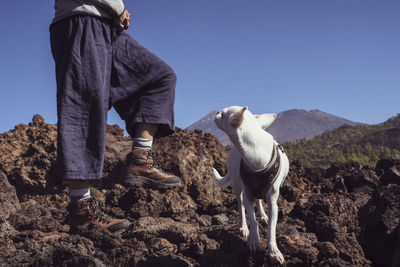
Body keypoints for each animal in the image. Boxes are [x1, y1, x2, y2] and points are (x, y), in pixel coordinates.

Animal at [214, 105, 290, 264]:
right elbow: (252, 219)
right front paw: (253, 240)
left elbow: (272, 228)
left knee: (259, 200)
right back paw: (243, 227)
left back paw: (263, 215)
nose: (216, 112)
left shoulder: (273, 204)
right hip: (238, 186)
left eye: (223, 114)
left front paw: (273, 251)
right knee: (240, 206)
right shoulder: (247, 196)